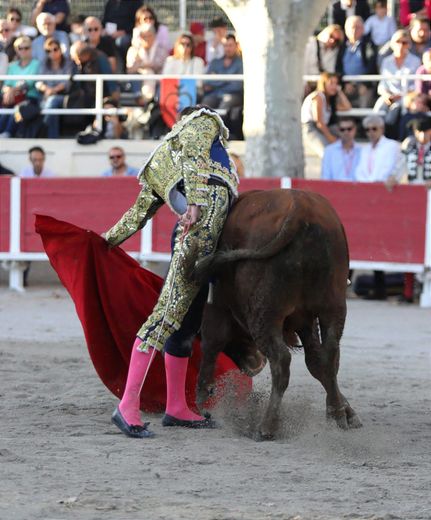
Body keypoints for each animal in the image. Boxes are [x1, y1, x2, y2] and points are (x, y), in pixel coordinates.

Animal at [195, 189, 362, 440]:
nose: (252, 365)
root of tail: (300, 211)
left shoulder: (217, 308)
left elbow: (211, 344)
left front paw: (202, 399)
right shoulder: (304, 320)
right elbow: (317, 363)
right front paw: (347, 413)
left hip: (264, 314)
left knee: (281, 360)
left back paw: (267, 427)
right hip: (334, 307)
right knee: (330, 355)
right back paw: (335, 414)